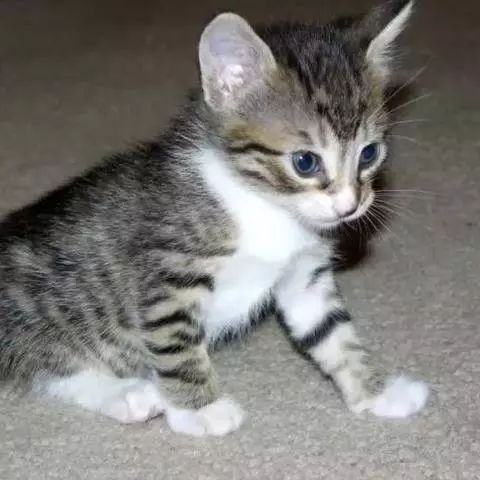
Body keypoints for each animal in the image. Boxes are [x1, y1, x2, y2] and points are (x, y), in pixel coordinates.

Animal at [0, 0, 428, 436]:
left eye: (369, 154)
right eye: (305, 162)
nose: (350, 206)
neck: (264, 206)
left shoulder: (305, 276)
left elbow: (333, 333)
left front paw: (374, 392)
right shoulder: (167, 276)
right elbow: (176, 344)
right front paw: (200, 409)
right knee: (45, 361)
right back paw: (126, 393)